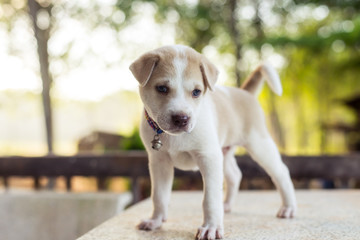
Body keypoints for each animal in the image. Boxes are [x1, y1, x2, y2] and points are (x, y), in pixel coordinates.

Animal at [129, 45, 296, 240]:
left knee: (281, 172)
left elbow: (210, 198)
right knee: (235, 175)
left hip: (259, 145)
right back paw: (227, 206)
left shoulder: (208, 158)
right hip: (224, 153)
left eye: (196, 92)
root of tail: (245, 92)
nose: (181, 119)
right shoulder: (159, 162)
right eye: (162, 88)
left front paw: (211, 227)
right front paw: (155, 221)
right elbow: (159, 195)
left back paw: (288, 207)